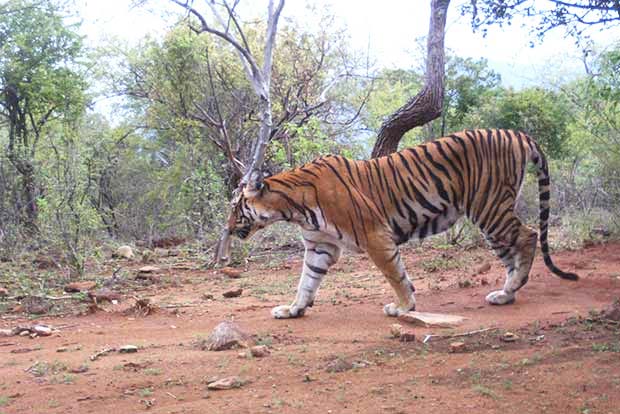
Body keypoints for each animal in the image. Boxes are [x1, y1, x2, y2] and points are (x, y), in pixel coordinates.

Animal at [225, 128, 580, 318]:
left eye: (235, 207)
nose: (226, 229)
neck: (293, 207)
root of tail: (514, 132)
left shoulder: (374, 236)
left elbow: (395, 274)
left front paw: (404, 307)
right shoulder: (320, 245)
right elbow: (306, 282)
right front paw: (293, 310)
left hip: (489, 207)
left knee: (529, 235)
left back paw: (513, 286)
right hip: (490, 217)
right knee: (512, 250)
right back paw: (506, 294)